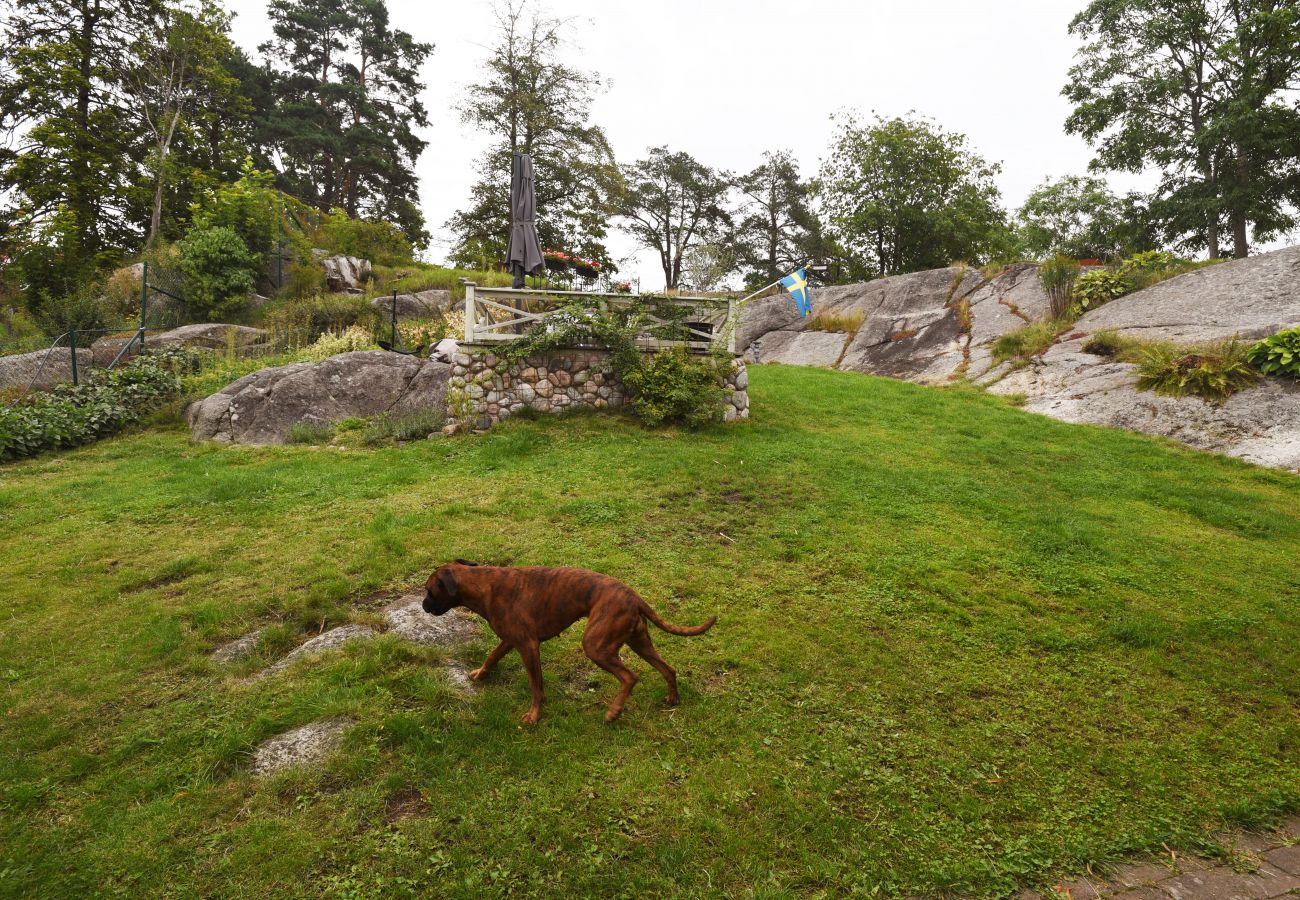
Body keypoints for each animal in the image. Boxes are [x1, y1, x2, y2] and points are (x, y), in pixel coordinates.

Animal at [423, 561, 717, 723]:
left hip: (596, 646)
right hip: (639, 643)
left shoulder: (528, 646)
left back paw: (614, 712)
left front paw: (534, 715)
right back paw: (672, 698)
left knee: (629, 677)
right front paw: (480, 674)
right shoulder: (510, 640)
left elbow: (537, 687)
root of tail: (634, 596)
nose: (423, 605)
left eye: (429, 591)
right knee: (668, 669)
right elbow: (492, 657)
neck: (484, 583)